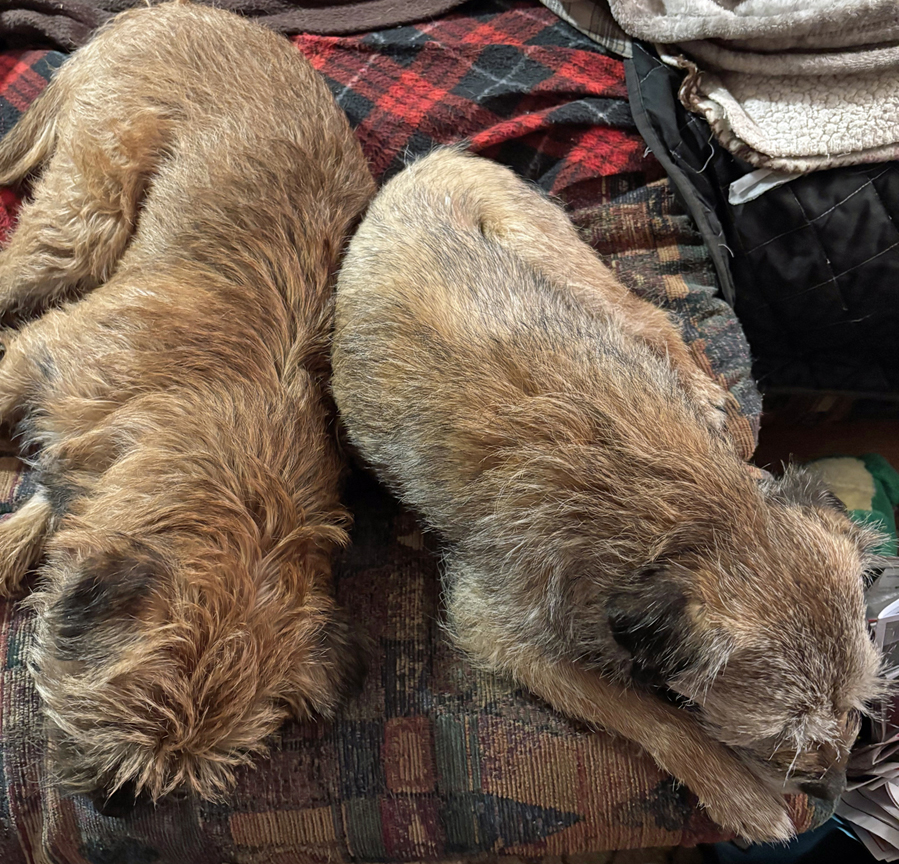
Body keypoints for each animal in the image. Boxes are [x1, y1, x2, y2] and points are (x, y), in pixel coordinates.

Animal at [0, 1, 374, 808]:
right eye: (130, 710)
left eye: (197, 768)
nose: (116, 806)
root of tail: (166, 11)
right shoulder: (36, 362)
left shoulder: (96, 462)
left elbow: (50, 507)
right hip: (85, 215)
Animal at [330, 147, 886, 842]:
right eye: (786, 734)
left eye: (857, 701)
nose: (838, 788)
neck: (697, 514)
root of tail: (435, 158)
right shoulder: (496, 629)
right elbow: (647, 714)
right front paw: (737, 791)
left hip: (558, 262)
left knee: (646, 316)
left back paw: (704, 395)